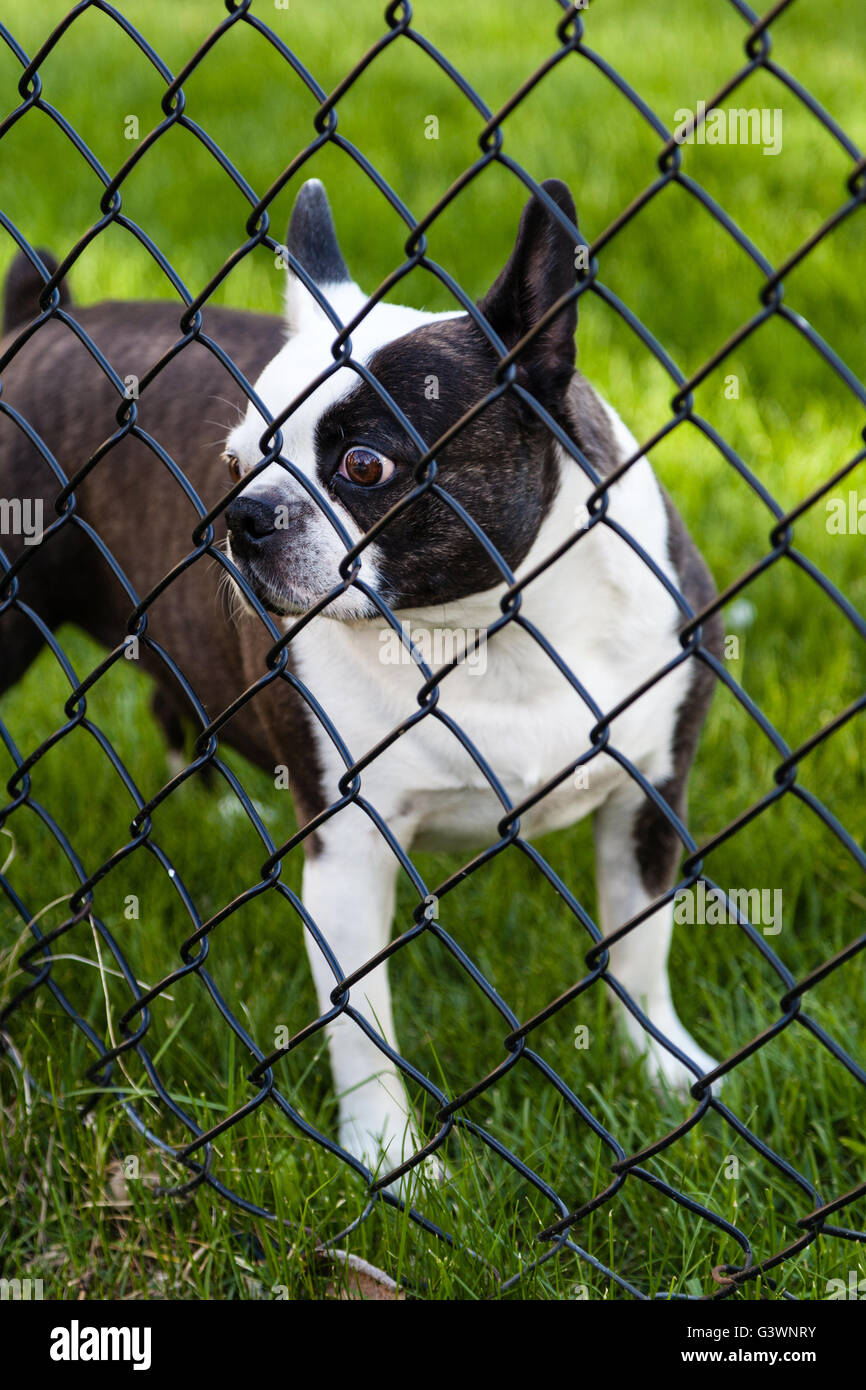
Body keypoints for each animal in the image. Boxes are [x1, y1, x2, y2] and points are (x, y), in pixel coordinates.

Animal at [0, 179, 722, 1184]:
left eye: (363, 465)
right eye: (235, 462)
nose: (244, 513)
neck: (489, 632)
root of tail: (38, 322)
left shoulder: (646, 799)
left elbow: (639, 950)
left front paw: (659, 1067)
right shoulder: (351, 851)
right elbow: (362, 1025)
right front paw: (393, 1161)